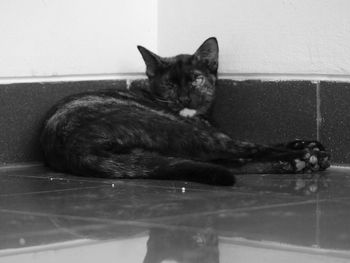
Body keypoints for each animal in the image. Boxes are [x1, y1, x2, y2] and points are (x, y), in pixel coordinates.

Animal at [39, 37, 330, 187]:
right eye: (169, 84)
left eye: (195, 79)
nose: (184, 97)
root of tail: (74, 150)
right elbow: (252, 146)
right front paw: (302, 149)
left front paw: (303, 144)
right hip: (172, 127)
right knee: (241, 151)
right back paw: (302, 158)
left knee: (225, 161)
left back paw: (299, 160)